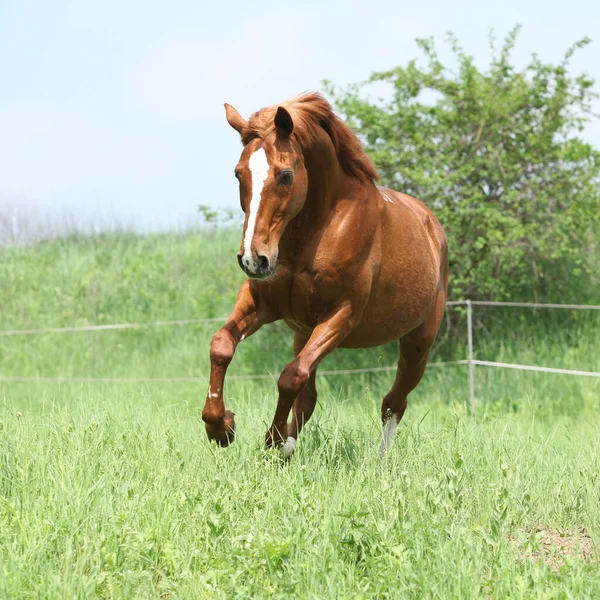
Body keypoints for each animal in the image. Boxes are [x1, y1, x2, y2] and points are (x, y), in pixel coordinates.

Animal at [203, 91, 450, 458]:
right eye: (238, 174)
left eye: (285, 175)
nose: (253, 259)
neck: (315, 230)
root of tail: (432, 227)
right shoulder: (261, 302)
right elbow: (221, 346)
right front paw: (221, 428)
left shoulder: (341, 315)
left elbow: (290, 377)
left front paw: (272, 440)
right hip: (302, 333)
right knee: (310, 395)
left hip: (418, 342)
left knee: (394, 402)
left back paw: (379, 460)